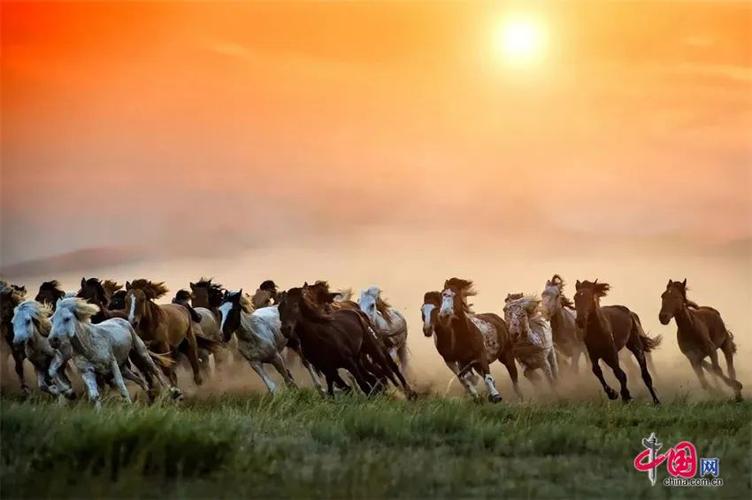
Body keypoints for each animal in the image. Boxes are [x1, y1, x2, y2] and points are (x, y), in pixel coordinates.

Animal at [49, 296, 177, 406]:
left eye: (66, 318)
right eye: (52, 320)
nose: (53, 340)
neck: (88, 346)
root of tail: (122, 320)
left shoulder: (112, 364)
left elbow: (122, 388)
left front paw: (129, 406)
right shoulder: (87, 371)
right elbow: (94, 396)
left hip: (141, 352)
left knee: (155, 370)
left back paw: (172, 392)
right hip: (124, 368)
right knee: (140, 380)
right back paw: (150, 398)